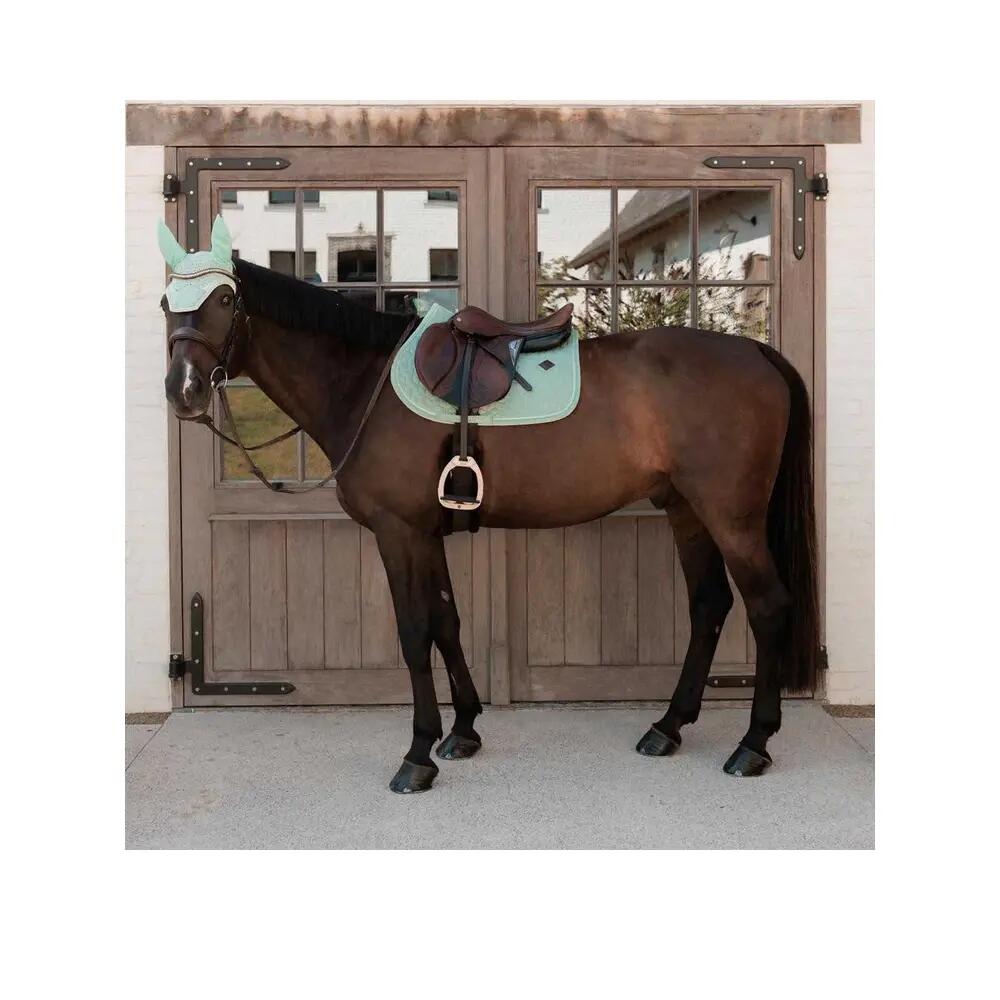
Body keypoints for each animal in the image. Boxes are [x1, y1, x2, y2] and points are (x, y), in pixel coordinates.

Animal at [159, 216, 818, 793]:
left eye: (224, 300)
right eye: (168, 303)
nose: (182, 391)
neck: (364, 382)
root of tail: (758, 354)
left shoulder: (397, 532)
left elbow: (414, 632)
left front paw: (417, 756)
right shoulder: (425, 534)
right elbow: (446, 621)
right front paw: (463, 732)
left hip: (731, 517)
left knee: (767, 606)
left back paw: (752, 745)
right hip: (685, 509)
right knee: (709, 605)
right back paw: (668, 728)